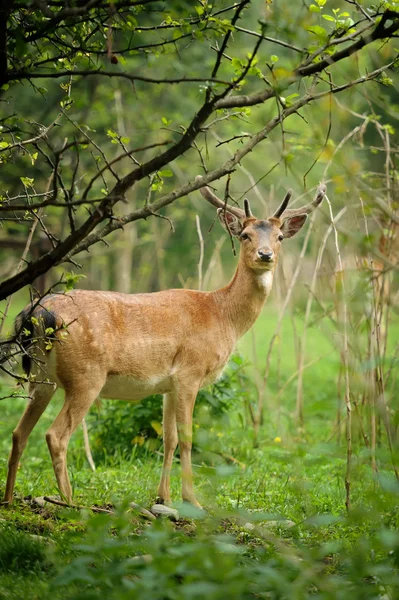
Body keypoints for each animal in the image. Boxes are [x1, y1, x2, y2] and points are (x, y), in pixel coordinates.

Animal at [3, 178, 326, 506]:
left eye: (280, 236)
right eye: (245, 235)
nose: (265, 255)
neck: (223, 315)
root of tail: (36, 313)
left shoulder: (169, 385)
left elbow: (168, 438)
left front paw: (164, 497)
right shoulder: (190, 372)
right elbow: (187, 437)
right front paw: (192, 500)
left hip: (42, 377)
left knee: (18, 433)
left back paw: (9, 497)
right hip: (86, 375)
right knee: (55, 435)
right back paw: (69, 502)